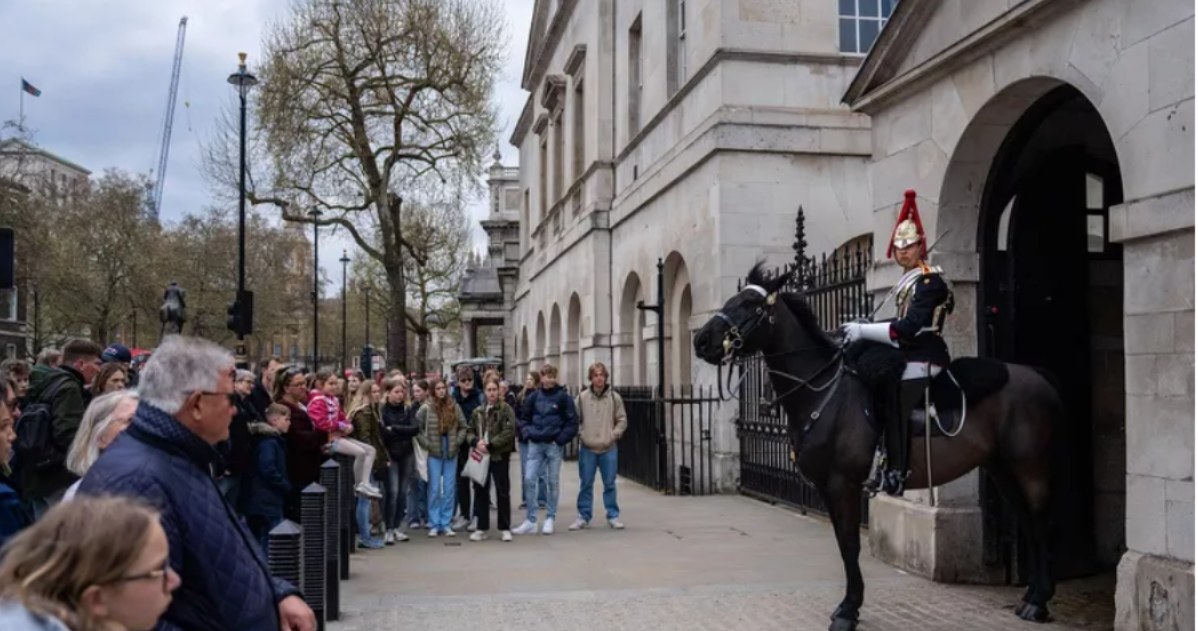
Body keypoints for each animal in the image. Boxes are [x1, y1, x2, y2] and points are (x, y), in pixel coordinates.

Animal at [694, 264, 1068, 631]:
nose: (701, 340)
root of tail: (1036, 374)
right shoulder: (826, 487)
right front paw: (850, 605)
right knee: (1027, 520)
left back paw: (1038, 601)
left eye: (749, 305)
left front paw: (848, 609)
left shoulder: (843, 483)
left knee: (1040, 520)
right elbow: (843, 543)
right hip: (1001, 467)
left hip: (1029, 465)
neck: (821, 391)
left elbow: (849, 545)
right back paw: (1032, 595)